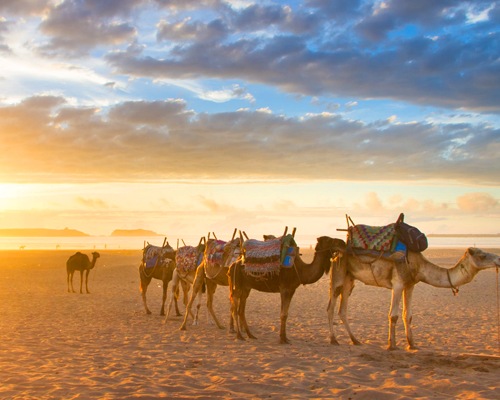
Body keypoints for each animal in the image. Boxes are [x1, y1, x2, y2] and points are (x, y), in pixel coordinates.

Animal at [328, 245, 500, 352]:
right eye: (482, 255)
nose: (498, 259)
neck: (418, 266)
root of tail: (336, 253)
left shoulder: (410, 285)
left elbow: (408, 315)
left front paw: (412, 345)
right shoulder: (398, 283)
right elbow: (393, 315)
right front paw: (392, 346)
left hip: (349, 278)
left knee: (342, 309)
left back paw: (355, 340)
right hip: (338, 273)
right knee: (331, 306)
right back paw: (333, 340)